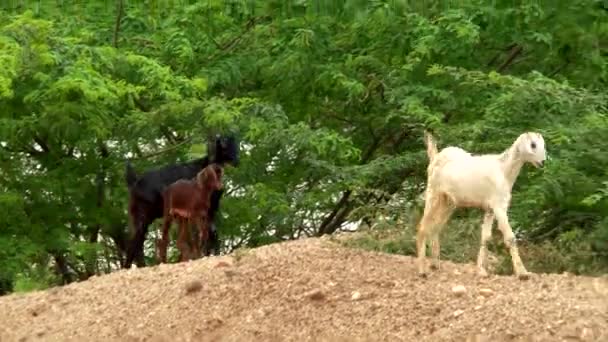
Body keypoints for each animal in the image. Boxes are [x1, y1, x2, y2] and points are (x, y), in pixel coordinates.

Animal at [122, 132, 239, 268]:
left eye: (235, 144)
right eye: (223, 145)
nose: (236, 161)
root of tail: (134, 183)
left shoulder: (209, 209)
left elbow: (210, 231)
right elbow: (205, 232)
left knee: (137, 241)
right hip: (143, 215)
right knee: (135, 242)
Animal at [416, 130, 548, 280]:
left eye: (543, 144)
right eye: (533, 144)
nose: (543, 162)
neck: (503, 170)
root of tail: (435, 157)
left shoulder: (490, 209)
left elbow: (486, 237)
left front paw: (481, 270)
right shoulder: (499, 207)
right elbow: (510, 237)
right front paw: (523, 273)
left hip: (448, 203)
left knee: (435, 228)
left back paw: (435, 264)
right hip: (433, 195)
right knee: (422, 227)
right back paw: (422, 270)